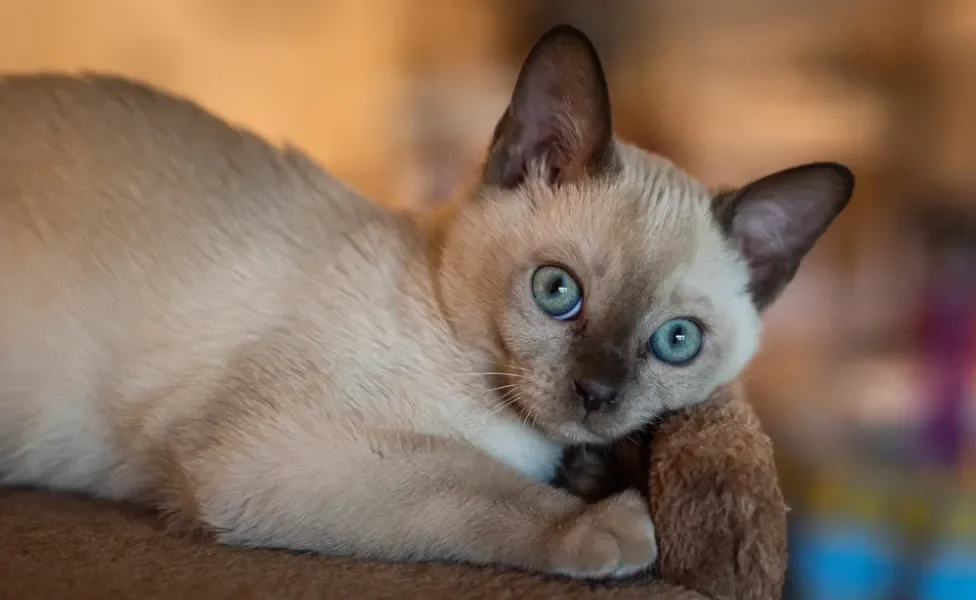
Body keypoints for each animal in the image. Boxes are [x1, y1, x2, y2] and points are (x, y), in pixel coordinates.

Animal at [0, 25, 856, 580]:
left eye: (677, 341)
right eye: (557, 292)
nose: (598, 394)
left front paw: (595, 469)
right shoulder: (278, 454)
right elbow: (473, 484)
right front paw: (607, 521)